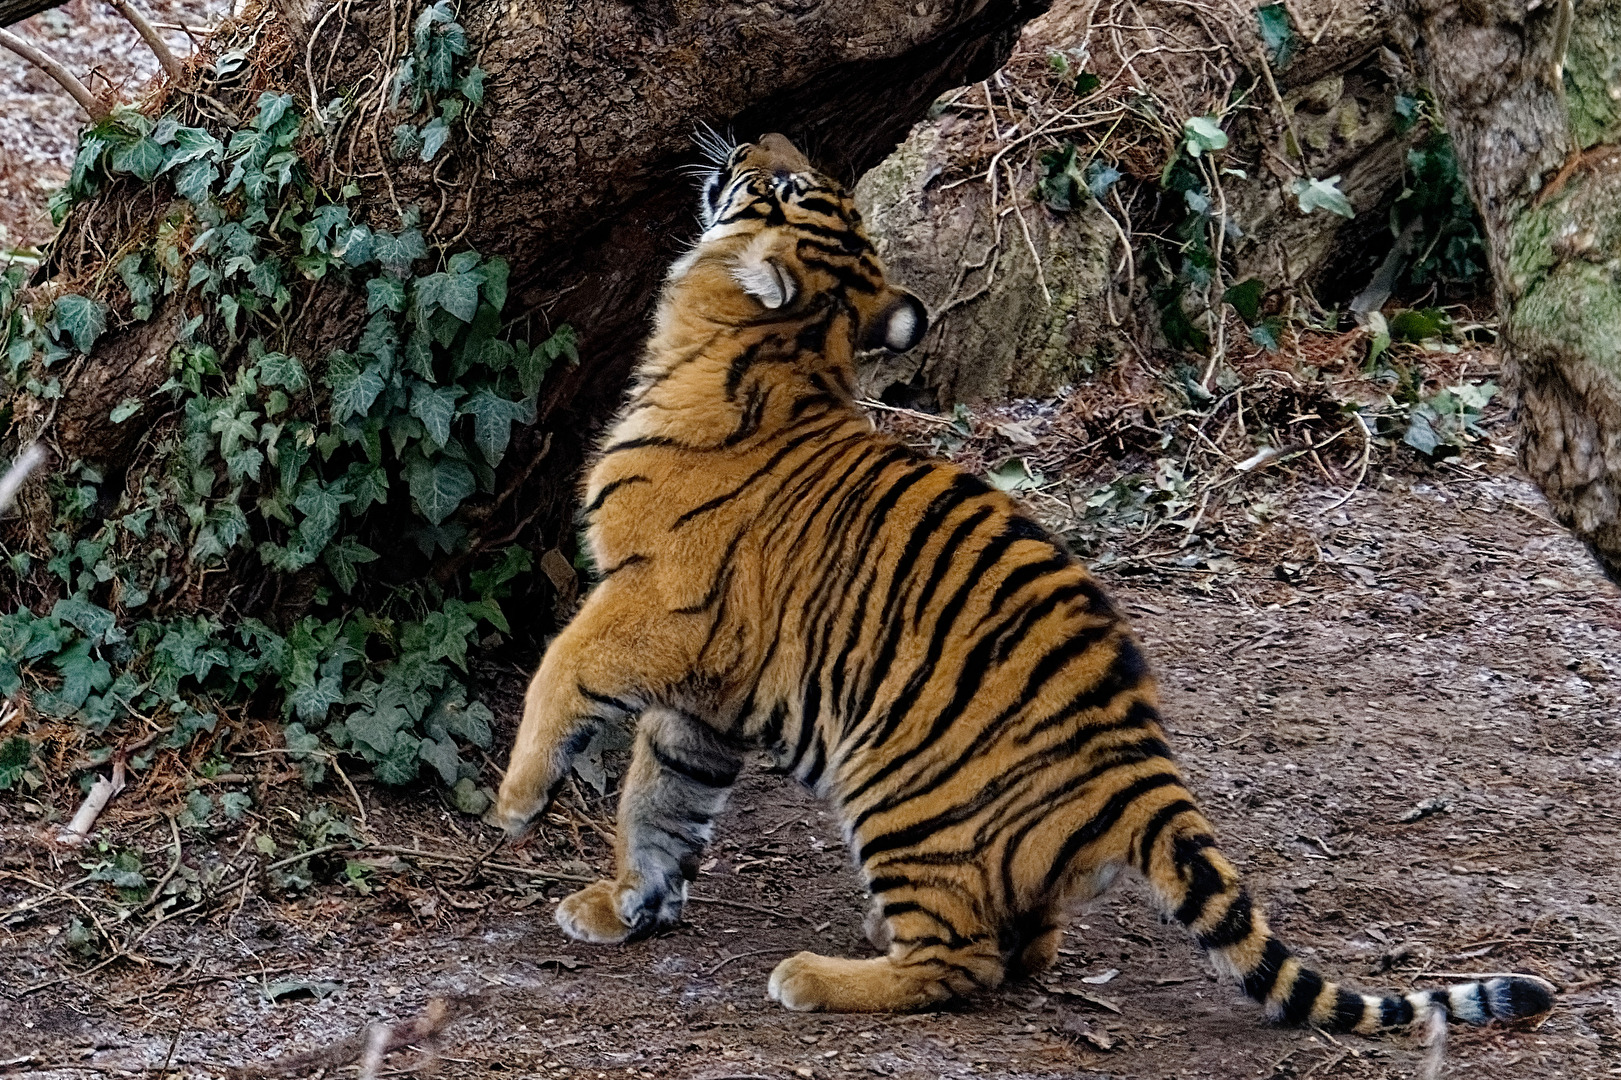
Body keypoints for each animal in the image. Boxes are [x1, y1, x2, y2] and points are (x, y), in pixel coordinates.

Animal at [490, 131, 1554, 1030]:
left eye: (784, 187)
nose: (758, 139)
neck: (791, 352)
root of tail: (1138, 764)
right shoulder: (708, 690)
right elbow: (661, 798)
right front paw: (624, 903)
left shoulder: (651, 600)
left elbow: (560, 673)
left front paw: (515, 800)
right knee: (1026, 945)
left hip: (894, 790)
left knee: (960, 965)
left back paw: (819, 977)